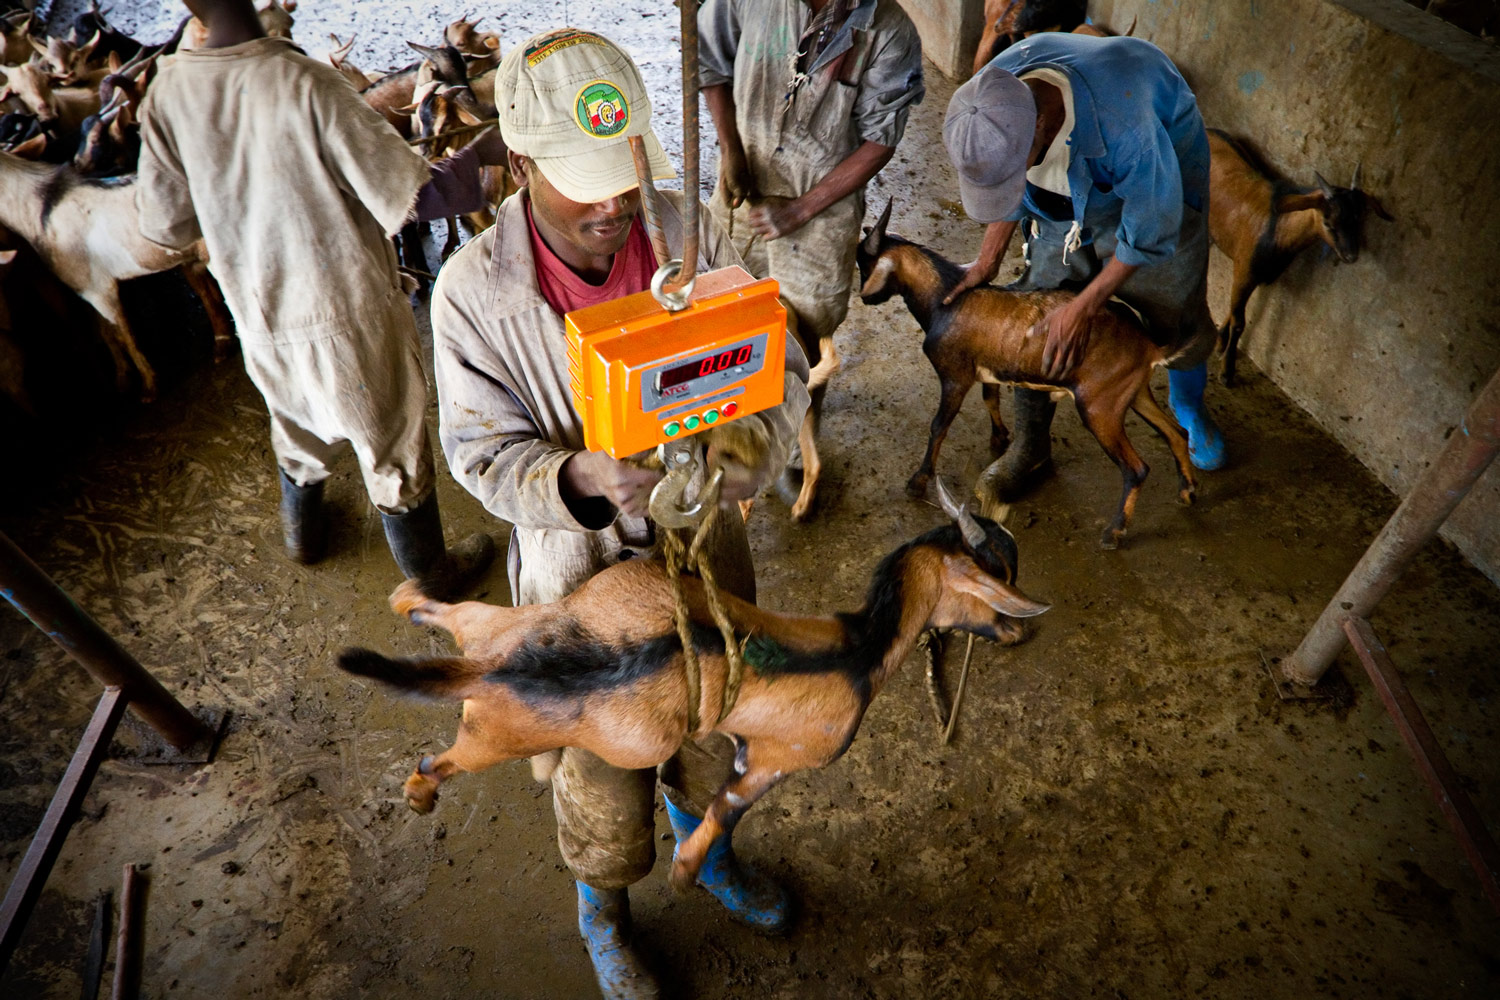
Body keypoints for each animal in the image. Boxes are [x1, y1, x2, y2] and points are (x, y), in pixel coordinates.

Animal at [336, 485, 1050, 893]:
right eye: (1001, 579)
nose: (1023, 633)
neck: (860, 648)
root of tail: (495, 672)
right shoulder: (780, 758)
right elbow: (727, 806)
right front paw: (684, 874)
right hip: (510, 734)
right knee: (441, 761)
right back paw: (420, 794)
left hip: (507, 623)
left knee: (455, 615)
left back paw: (412, 599)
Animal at [858, 200, 1194, 551]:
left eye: (863, 266)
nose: (864, 297)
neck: (944, 300)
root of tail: (1149, 347)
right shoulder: (986, 369)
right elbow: (990, 397)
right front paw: (999, 438)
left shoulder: (954, 375)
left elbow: (939, 426)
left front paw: (917, 481)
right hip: (1133, 392)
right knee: (1177, 433)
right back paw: (1187, 492)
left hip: (1099, 407)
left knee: (1136, 468)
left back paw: (1114, 532)